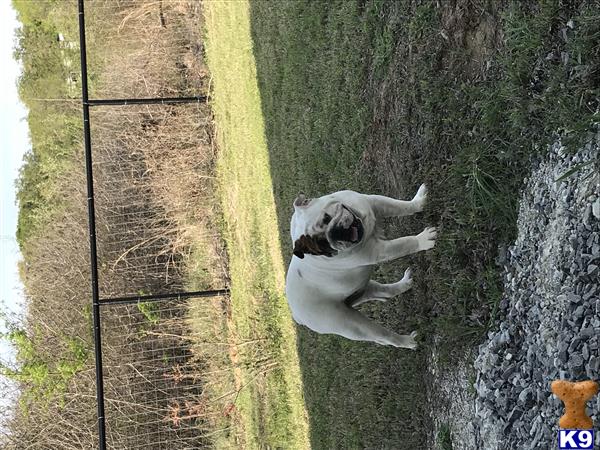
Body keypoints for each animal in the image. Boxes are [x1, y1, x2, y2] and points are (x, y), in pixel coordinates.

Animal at [286, 185, 436, 350]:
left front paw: (419, 202)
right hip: (353, 325)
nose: (335, 233)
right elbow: (404, 244)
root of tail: (296, 315)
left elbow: (401, 206)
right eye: (323, 246)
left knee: (382, 291)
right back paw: (408, 341)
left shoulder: (373, 201)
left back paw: (405, 283)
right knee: (384, 337)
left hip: (360, 288)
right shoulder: (380, 251)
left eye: (326, 218)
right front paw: (423, 240)